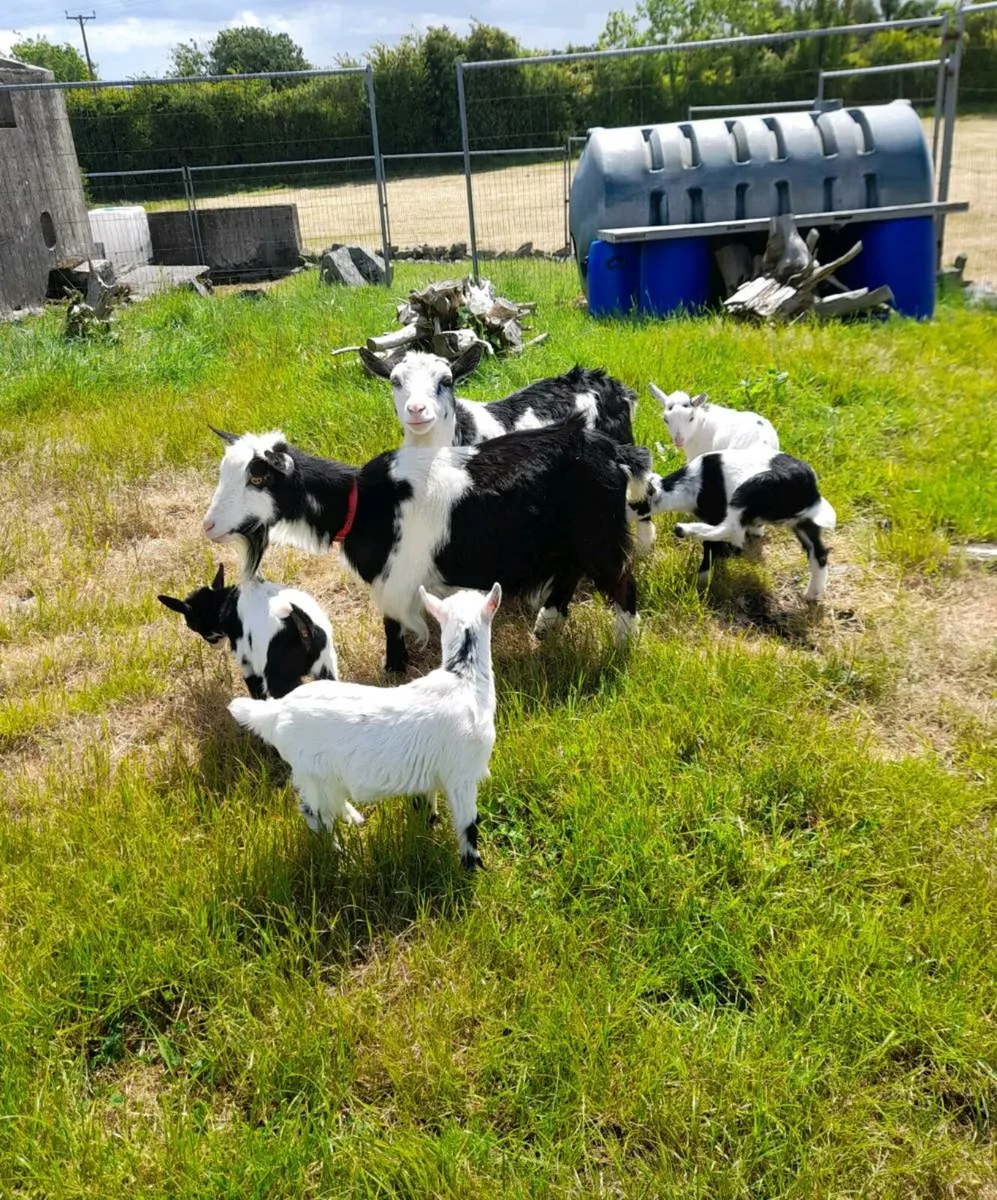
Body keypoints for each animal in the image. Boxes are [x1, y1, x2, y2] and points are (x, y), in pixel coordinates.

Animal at [158, 562, 338, 698]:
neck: (224, 602)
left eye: (191, 624)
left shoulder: (247, 665)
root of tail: (301, 621)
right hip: (326, 668)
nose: (213, 644)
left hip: (279, 679)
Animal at [202, 413, 648, 673]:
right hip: (574, 537)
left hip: (598, 536)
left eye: (258, 477)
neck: (362, 503)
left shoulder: (395, 578)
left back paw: (622, 645)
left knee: (623, 583)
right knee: (571, 571)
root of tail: (614, 451)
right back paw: (546, 626)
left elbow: (391, 624)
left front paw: (394, 668)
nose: (208, 525)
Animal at [229, 584, 502, 869]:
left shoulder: (429, 773)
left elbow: (426, 805)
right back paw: (340, 854)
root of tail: (275, 712)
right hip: (314, 772)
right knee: (313, 813)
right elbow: (469, 823)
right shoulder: (463, 774)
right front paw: (473, 867)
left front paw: (427, 830)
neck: (464, 679)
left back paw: (352, 818)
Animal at [360, 345, 656, 554]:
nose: (416, 410)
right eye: (395, 381)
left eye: (446, 380)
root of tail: (613, 385)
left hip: (619, 443)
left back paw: (644, 546)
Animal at [647, 446, 837, 599]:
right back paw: (812, 593)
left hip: (751, 488)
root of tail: (811, 491)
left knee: (731, 529)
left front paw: (702, 578)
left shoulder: (715, 512)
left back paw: (684, 530)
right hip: (802, 521)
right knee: (819, 553)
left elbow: (711, 545)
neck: (691, 485)